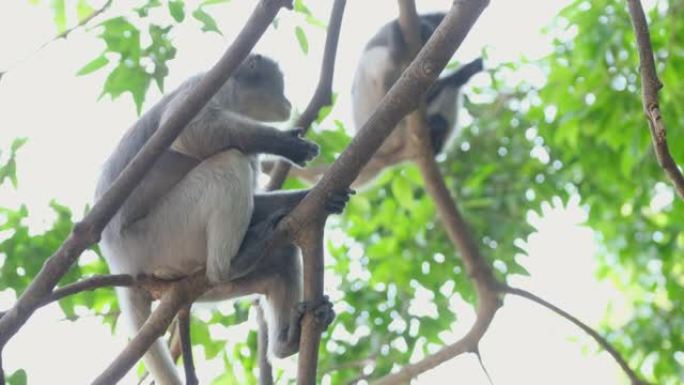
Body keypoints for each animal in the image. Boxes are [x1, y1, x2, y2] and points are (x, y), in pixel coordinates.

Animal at [96, 54, 348, 384]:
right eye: (279, 83)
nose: (288, 101)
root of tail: (118, 260)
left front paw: (321, 198)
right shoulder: (207, 85)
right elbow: (190, 132)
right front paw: (288, 144)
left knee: (281, 257)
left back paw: (287, 341)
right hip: (160, 238)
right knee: (228, 160)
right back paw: (228, 266)